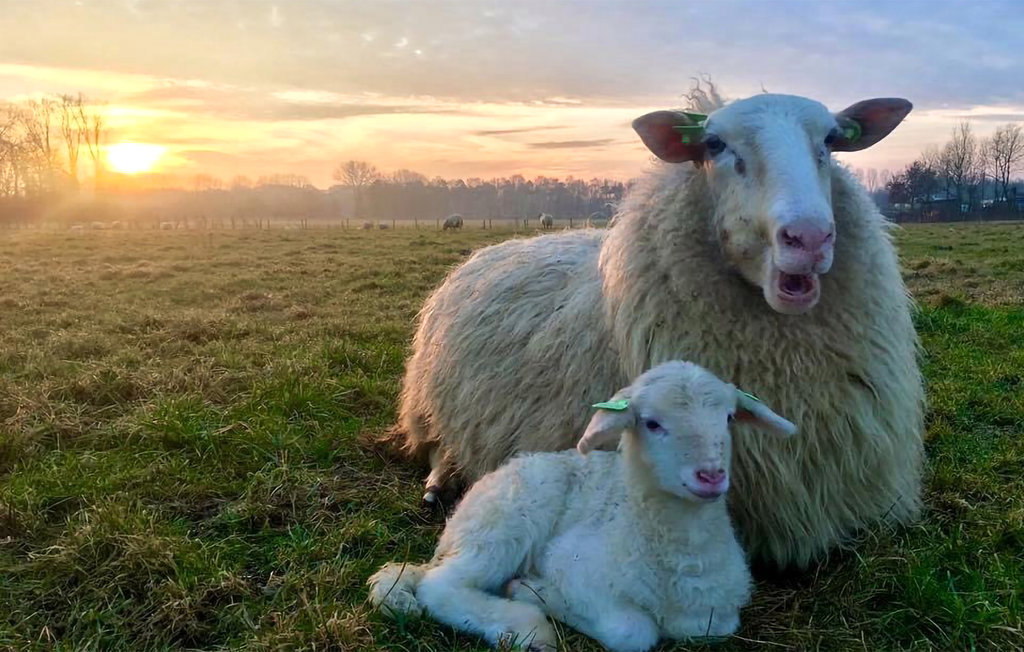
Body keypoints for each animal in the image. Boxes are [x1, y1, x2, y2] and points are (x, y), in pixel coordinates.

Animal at [372, 360, 794, 650]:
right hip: (505, 526)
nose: (711, 476)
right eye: (652, 423)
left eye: (728, 418)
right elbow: (632, 630)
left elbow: (711, 627)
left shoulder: (716, 615)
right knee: (440, 586)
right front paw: (537, 593)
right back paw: (528, 629)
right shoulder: (571, 563)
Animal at [387, 86, 925, 569]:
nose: (808, 238)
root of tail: (488, 251)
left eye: (832, 140)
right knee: (437, 447)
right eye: (714, 145)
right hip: (431, 403)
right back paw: (437, 486)